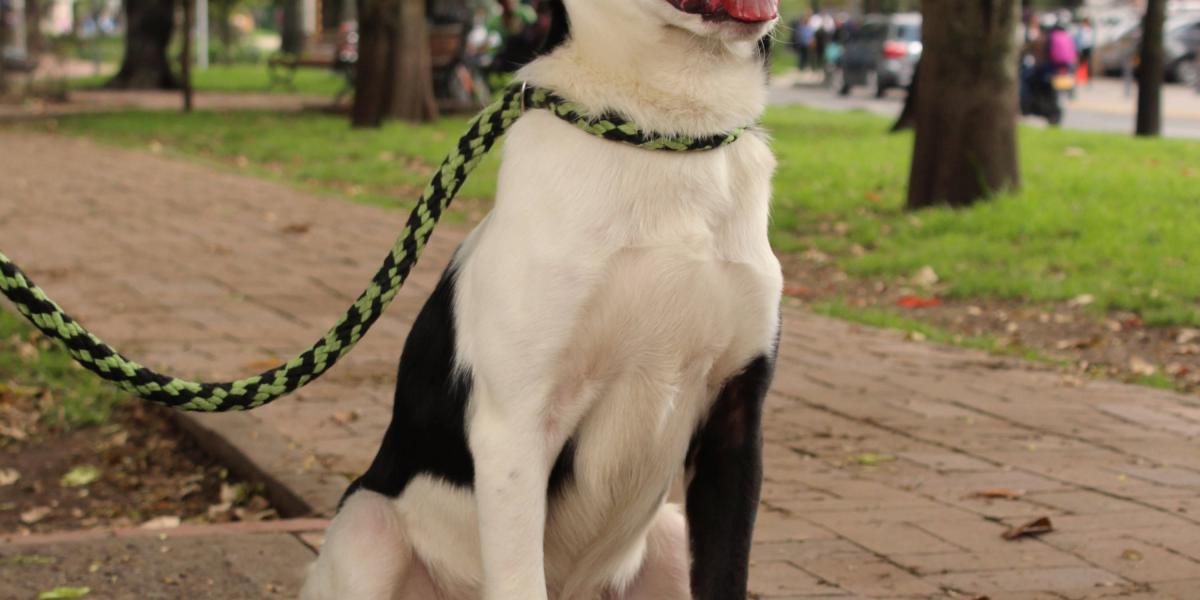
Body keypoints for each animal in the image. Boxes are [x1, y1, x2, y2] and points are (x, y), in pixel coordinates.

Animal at [304, 0, 782, 597]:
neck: (664, 129)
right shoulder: (517, 423)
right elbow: (519, 577)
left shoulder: (737, 416)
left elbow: (727, 571)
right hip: (368, 527)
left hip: (669, 538)